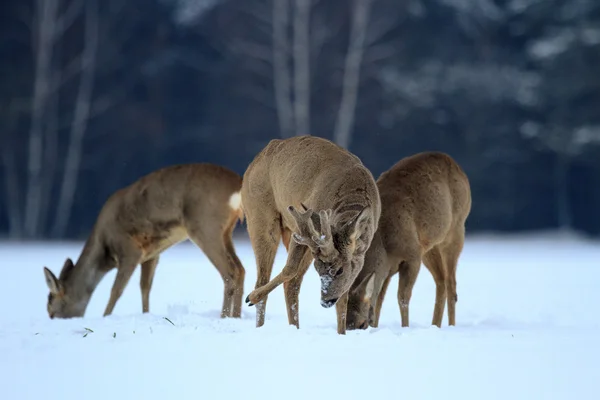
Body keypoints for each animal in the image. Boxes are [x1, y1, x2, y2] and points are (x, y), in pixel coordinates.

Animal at [41, 164, 246, 320]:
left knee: (229, 272)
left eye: (51, 309)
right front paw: (145, 314)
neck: (103, 250)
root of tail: (237, 185)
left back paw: (223, 316)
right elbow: (145, 287)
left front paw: (105, 317)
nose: (52, 320)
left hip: (204, 225)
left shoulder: (129, 249)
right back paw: (236, 317)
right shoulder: (151, 254)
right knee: (240, 269)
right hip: (226, 231)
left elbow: (116, 290)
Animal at [240, 136, 378, 336]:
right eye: (318, 270)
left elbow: (343, 297)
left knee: (292, 284)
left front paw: (341, 333)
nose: (325, 301)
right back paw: (256, 310)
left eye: (340, 270)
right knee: (263, 278)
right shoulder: (301, 228)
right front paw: (250, 297)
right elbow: (289, 268)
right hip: (259, 215)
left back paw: (294, 328)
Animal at [344, 152, 472, 330]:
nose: (353, 327)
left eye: (361, 324)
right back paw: (435, 325)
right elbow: (379, 300)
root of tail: (458, 167)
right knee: (441, 280)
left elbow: (402, 297)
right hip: (429, 247)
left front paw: (405, 327)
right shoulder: (388, 267)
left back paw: (451, 326)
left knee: (451, 283)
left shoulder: (412, 256)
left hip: (455, 230)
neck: (383, 244)